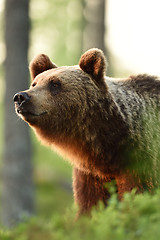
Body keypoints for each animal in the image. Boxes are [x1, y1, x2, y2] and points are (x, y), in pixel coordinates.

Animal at [13, 47, 160, 215]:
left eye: (55, 84)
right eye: (34, 83)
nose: (21, 97)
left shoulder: (141, 160)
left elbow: (138, 195)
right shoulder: (90, 173)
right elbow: (90, 204)